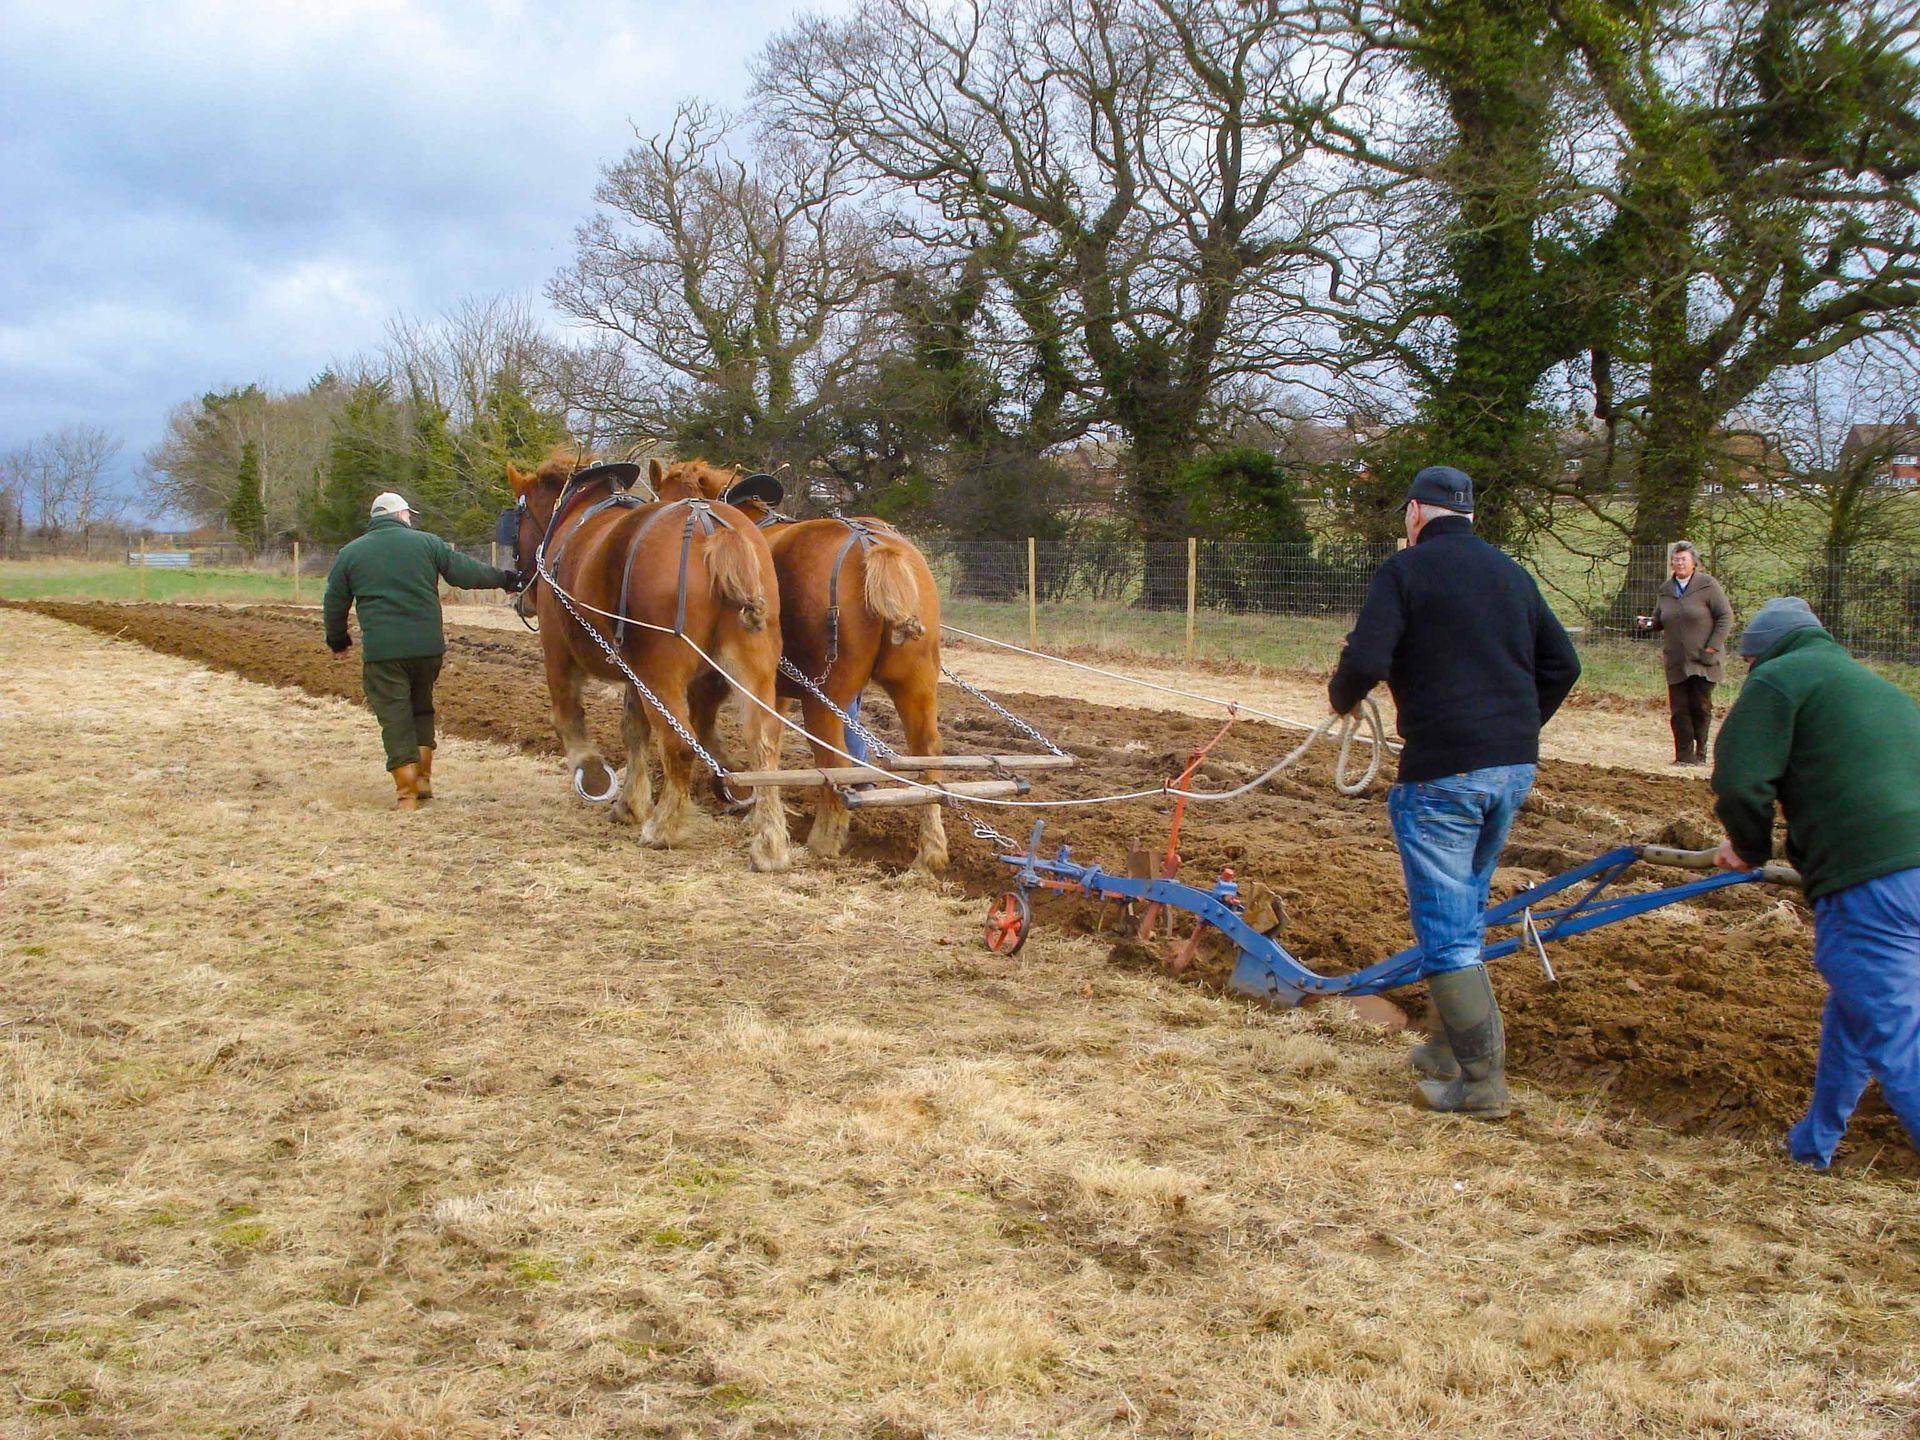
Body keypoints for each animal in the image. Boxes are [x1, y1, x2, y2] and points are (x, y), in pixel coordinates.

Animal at [503, 453, 791, 873]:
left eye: (516, 522)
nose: (520, 595)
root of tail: (712, 530)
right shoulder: (633, 673)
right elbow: (633, 729)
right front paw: (630, 802)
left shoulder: (557, 649)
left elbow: (568, 715)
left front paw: (593, 775)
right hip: (751, 668)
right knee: (764, 744)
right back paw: (769, 845)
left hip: (661, 674)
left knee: (680, 744)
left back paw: (664, 828)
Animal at [651, 458, 948, 873]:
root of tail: (873, 546)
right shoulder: (773, 690)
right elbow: (767, 740)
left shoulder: (715, 679)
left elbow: (709, 730)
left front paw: (734, 791)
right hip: (915, 682)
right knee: (928, 751)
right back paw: (930, 852)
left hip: (826, 695)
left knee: (834, 758)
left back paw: (825, 838)